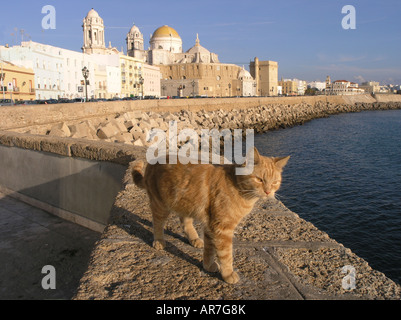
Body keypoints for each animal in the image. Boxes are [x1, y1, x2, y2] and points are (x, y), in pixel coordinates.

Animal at [131, 146, 288, 284]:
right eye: (259, 179)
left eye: (275, 182)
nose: (268, 192)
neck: (236, 185)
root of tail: (153, 161)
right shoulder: (222, 230)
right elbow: (225, 255)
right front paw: (228, 274)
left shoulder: (211, 226)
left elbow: (209, 250)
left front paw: (207, 266)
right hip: (160, 206)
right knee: (157, 223)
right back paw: (159, 241)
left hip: (187, 205)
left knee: (185, 222)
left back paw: (194, 239)